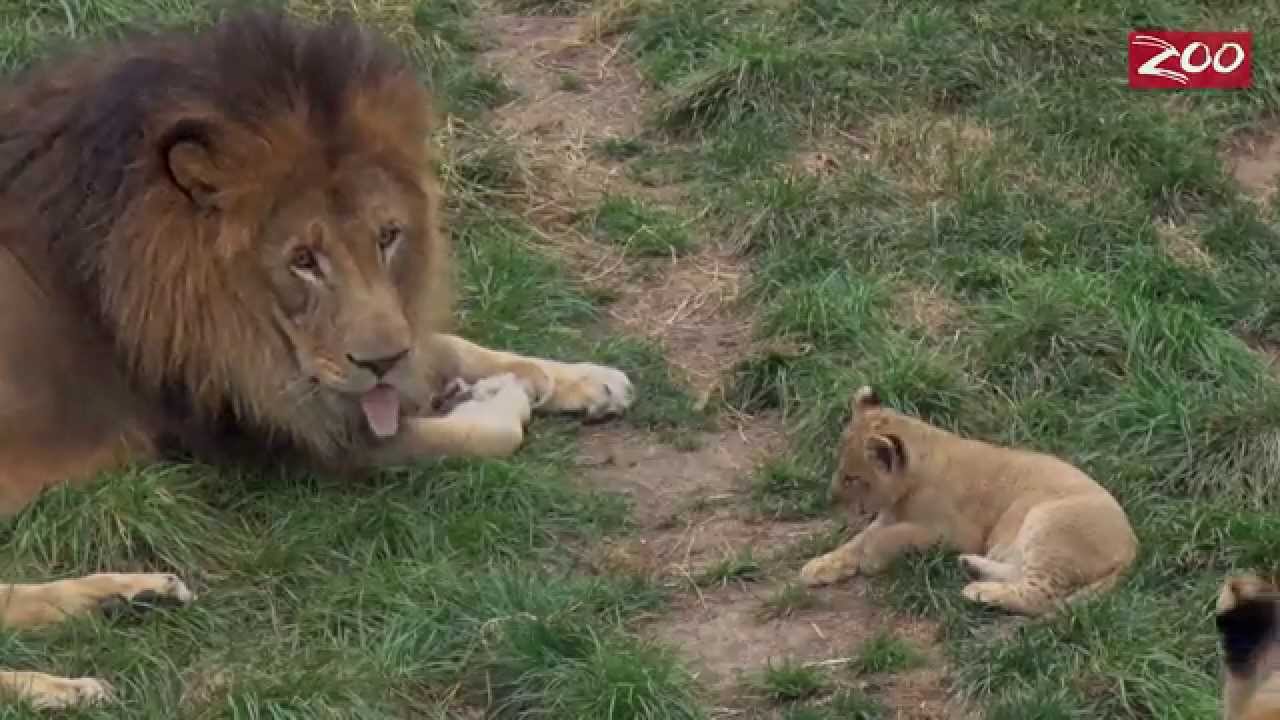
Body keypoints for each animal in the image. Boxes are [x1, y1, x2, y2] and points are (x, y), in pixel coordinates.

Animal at [0, 10, 634, 709]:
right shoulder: (271, 431)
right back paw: (62, 685)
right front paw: (496, 398)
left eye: (388, 236)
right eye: (303, 260)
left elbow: (449, 347)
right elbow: (483, 433)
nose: (381, 360)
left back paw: (129, 600)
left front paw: (586, 379)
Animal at [799, 386, 1138, 617]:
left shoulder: (954, 533)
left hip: (1047, 522)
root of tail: (1134, 547)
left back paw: (978, 591)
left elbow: (894, 536)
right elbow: (856, 540)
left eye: (852, 478)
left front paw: (870, 557)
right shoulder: (888, 517)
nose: (829, 498)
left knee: (1039, 595)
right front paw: (820, 565)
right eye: (839, 467)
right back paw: (972, 567)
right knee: (1021, 574)